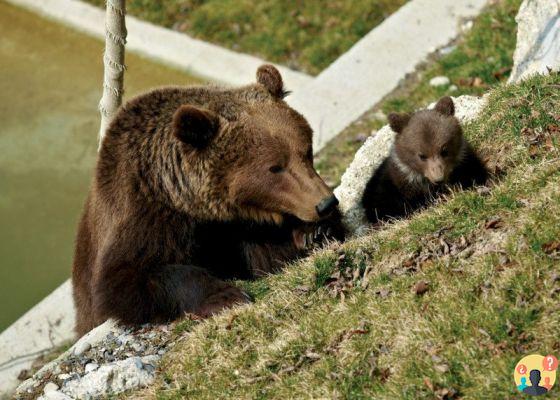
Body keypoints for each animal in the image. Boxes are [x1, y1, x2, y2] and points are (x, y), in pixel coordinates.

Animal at [72, 65, 344, 334]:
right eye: (276, 167)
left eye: (306, 150)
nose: (325, 203)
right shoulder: (144, 214)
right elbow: (127, 278)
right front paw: (227, 295)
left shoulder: (237, 227)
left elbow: (266, 255)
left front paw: (313, 232)